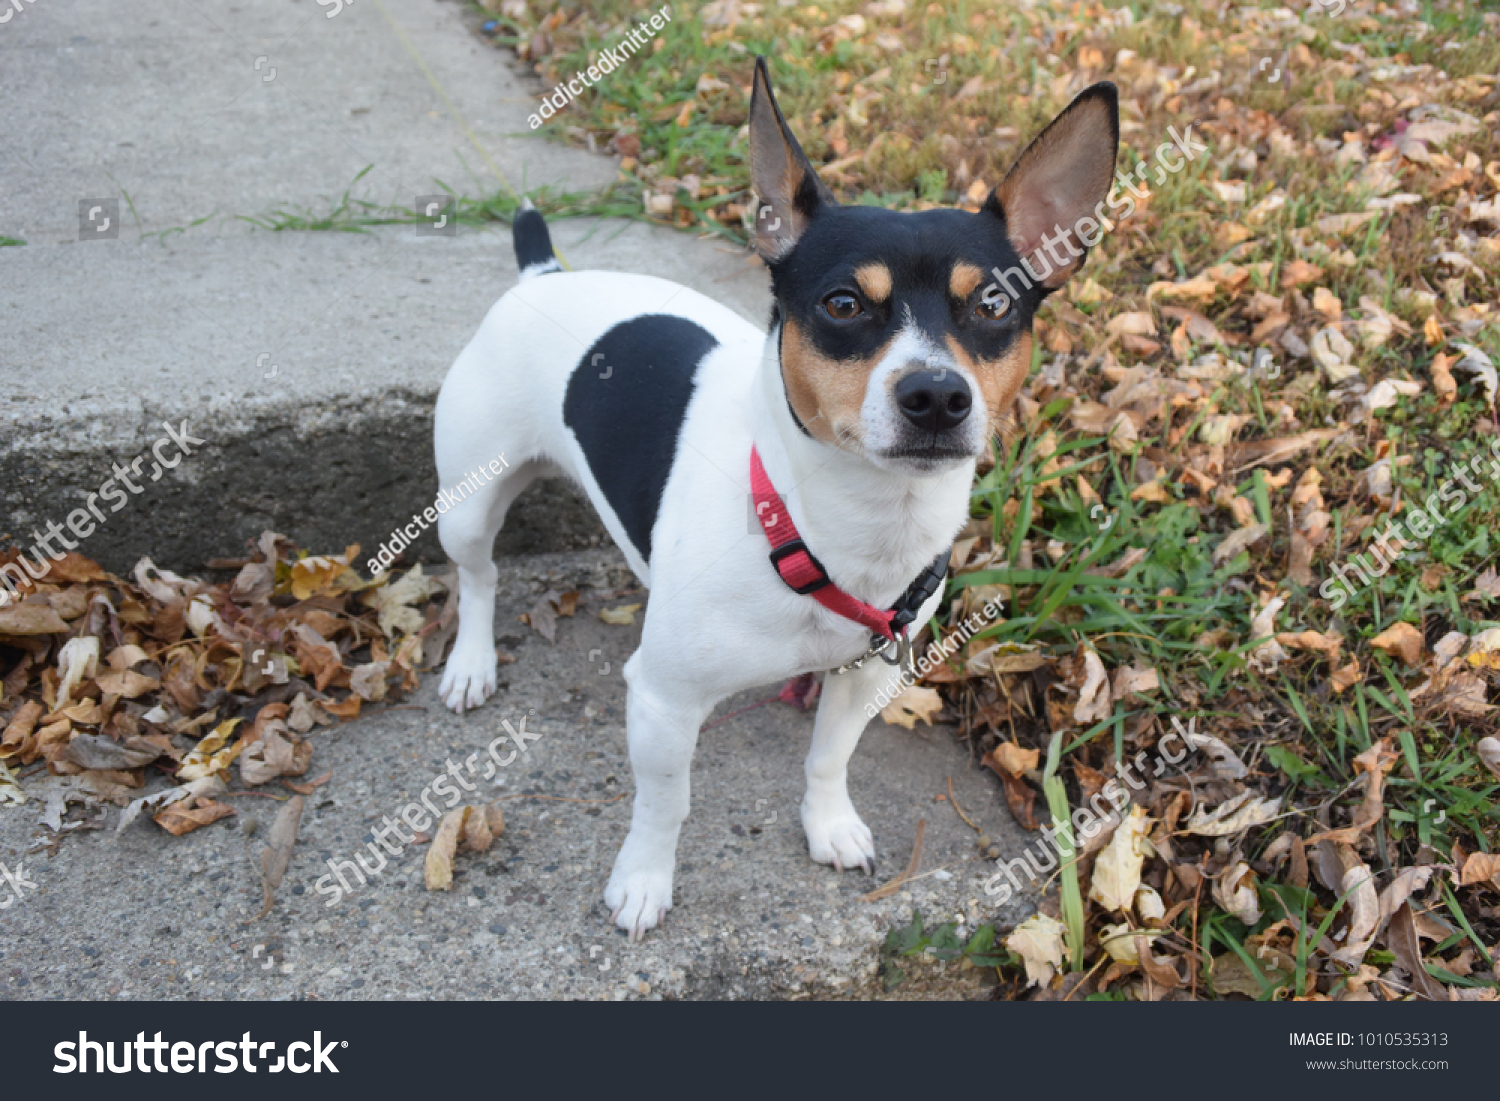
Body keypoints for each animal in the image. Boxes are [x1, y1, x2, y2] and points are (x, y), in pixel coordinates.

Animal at [432, 60, 1116, 942]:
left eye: (994, 304)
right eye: (842, 304)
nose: (937, 394)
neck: (826, 526)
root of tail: (542, 276)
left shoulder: (862, 677)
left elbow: (828, 756)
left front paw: (828, 823)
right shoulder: (662, 701)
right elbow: (665, 802)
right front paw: (643, 879)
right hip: (468, 501)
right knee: (478, 576)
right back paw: (472, 662)